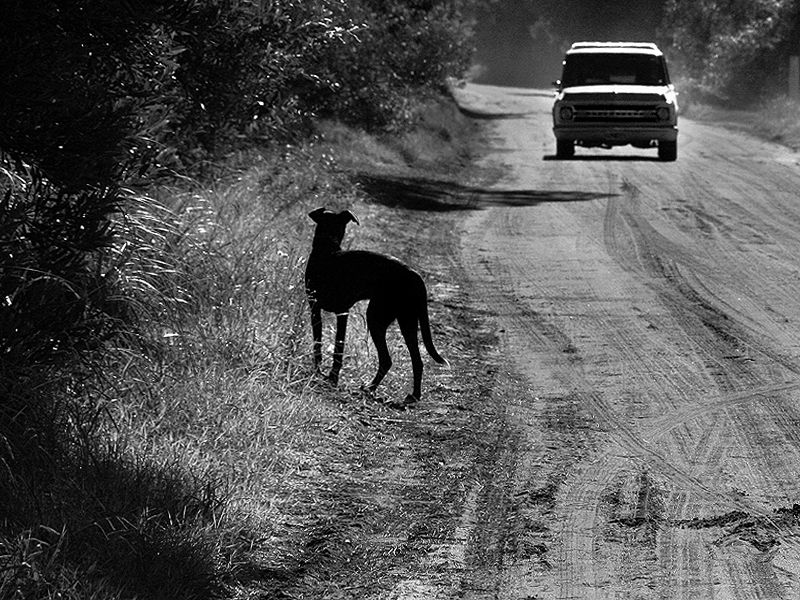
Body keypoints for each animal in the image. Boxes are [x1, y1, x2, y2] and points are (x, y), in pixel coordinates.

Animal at [304, 209, 446, 406]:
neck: (327, 251)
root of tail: (416, 276)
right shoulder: (316, 309)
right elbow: (318, 345)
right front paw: (320, 372)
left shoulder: (341, 312)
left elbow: (338, 348)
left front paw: (332, 378)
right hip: (407, 321)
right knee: (413, 361)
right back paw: (408, 394)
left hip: (378, 318)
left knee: (389, 359)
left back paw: (375, 389)